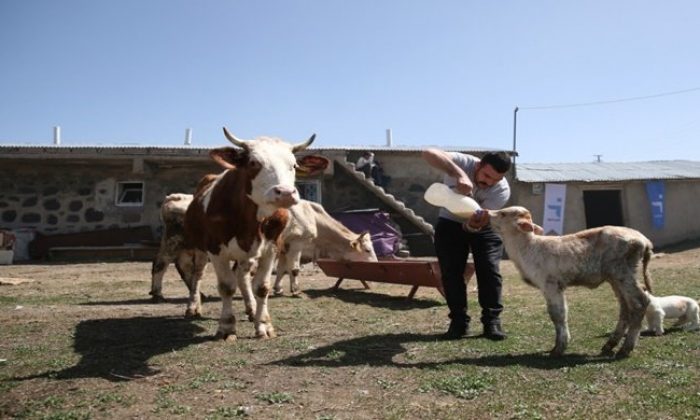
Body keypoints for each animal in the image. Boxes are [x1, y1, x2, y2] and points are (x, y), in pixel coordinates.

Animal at [183, 128, 314, 342]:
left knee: (242, 276)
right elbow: (226, 286)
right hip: (199, 246)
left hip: (248, 254)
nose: (286, 193)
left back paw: (251, 308)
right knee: (198, 273)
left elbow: (262, 287)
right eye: (253, 163)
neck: (252, 219)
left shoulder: (271, 247)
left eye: (294, 165)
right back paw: (193, 307)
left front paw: (263, 325)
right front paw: (227, 327)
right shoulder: (215, 249)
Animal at [484, 207, 652, 358]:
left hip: (623, 273)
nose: (485, 212)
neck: (527, 249)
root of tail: (644, 240)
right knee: (625, 307)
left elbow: (557, 314)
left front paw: (559, 348)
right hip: (615, 278)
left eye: (503, 213)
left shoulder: (551, 285)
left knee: (639, 303)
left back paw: (625, 349)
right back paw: (609, 345)